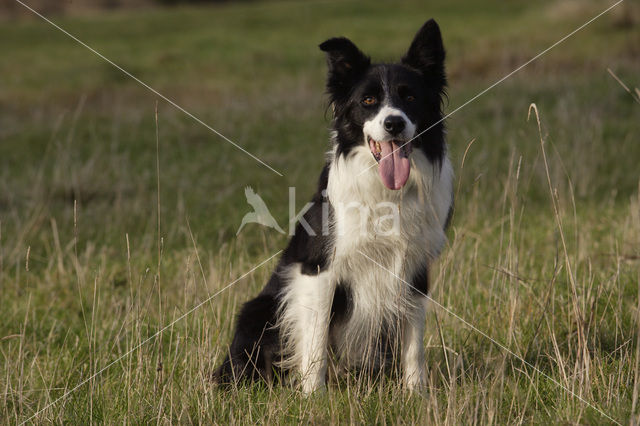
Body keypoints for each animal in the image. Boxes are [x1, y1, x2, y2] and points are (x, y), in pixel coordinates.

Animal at [216, 19, 456, 392]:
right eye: (368, 100)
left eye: (410, 97)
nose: (394, 123)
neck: (386, 192)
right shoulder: (319, 270)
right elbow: (315, 342)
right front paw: (314, 395)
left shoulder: (415, 272)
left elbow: (414, 345)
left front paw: (417, 394)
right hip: (259, 309)